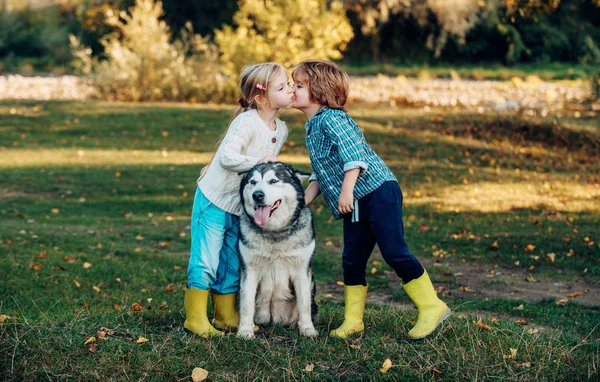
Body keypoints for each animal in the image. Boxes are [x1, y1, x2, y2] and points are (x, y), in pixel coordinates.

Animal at [237, 163, 318, 338]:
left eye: (273, 181)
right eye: (253, 182)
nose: (257, 195)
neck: (275, 232)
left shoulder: (302, 271)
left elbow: (304, 304)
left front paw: (307, 329)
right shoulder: (249, 270)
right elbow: (246, 304)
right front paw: (245, 331)